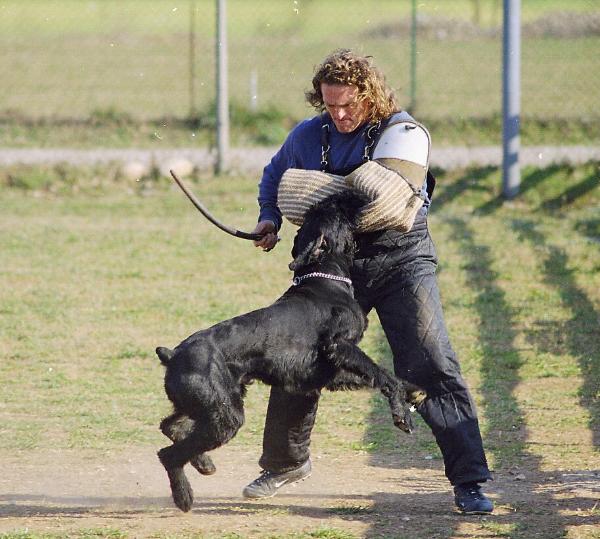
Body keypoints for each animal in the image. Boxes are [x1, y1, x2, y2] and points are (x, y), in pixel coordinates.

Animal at [155, 192, 426, 512]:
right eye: (333, 210)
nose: (347, 195)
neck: (325, 279)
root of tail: (172, 355)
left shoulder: (327, 371)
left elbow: (375, 376)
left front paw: (414, 390)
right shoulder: (341, 346)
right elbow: (380, 373)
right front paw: (401, 413)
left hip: (205, 406)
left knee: (171, 426)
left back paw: (204, 463)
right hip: (225, 416)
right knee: (168, 453)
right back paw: (184, 495)